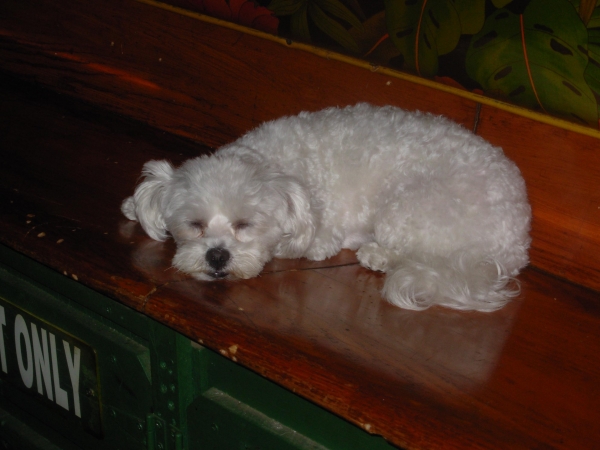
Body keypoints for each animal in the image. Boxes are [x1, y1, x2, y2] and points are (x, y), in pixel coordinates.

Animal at [120, 103, 528, 312]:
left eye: (244, 224)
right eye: (195, 224)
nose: (217, 256)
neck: (270, 163)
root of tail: (516, 244)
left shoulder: (321, 229)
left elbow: (310, 244)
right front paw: (132, 207)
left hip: (408, 208)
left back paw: (376, 253)